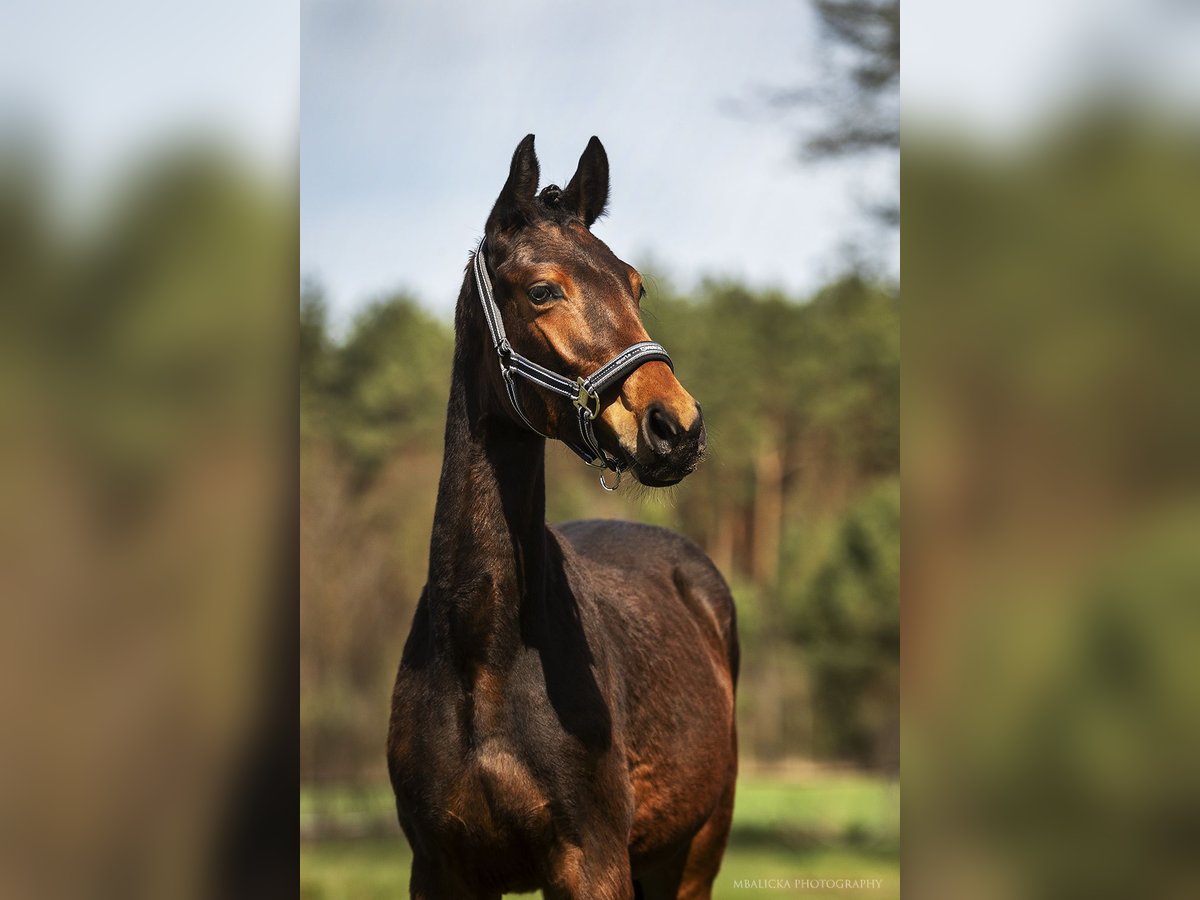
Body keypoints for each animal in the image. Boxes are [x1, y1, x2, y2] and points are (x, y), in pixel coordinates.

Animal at [388, 135, 734, 900]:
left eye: (636, 286)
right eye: (543, 290)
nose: (677, 426)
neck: (482, 658)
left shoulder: (590, 860)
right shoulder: (439, 868)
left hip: (696, 852)